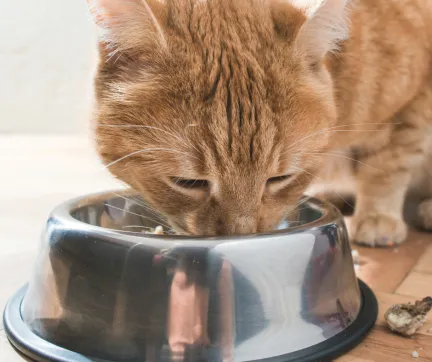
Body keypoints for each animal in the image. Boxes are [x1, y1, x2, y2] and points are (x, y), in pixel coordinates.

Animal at [86, 0, 432, 246]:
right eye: (188, 183)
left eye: (280, 178)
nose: (241, 234)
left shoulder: (416, 102)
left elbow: (388, 166)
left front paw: (377, 215)